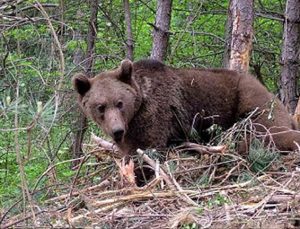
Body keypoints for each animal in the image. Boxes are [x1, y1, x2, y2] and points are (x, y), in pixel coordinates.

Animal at [72, 59, 300, 156]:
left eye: (120, 103)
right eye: (100, 107)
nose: (117, 131)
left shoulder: (157, 114)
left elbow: (150, 148)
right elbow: (130, 150)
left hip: (251, 103)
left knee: (268, 133)